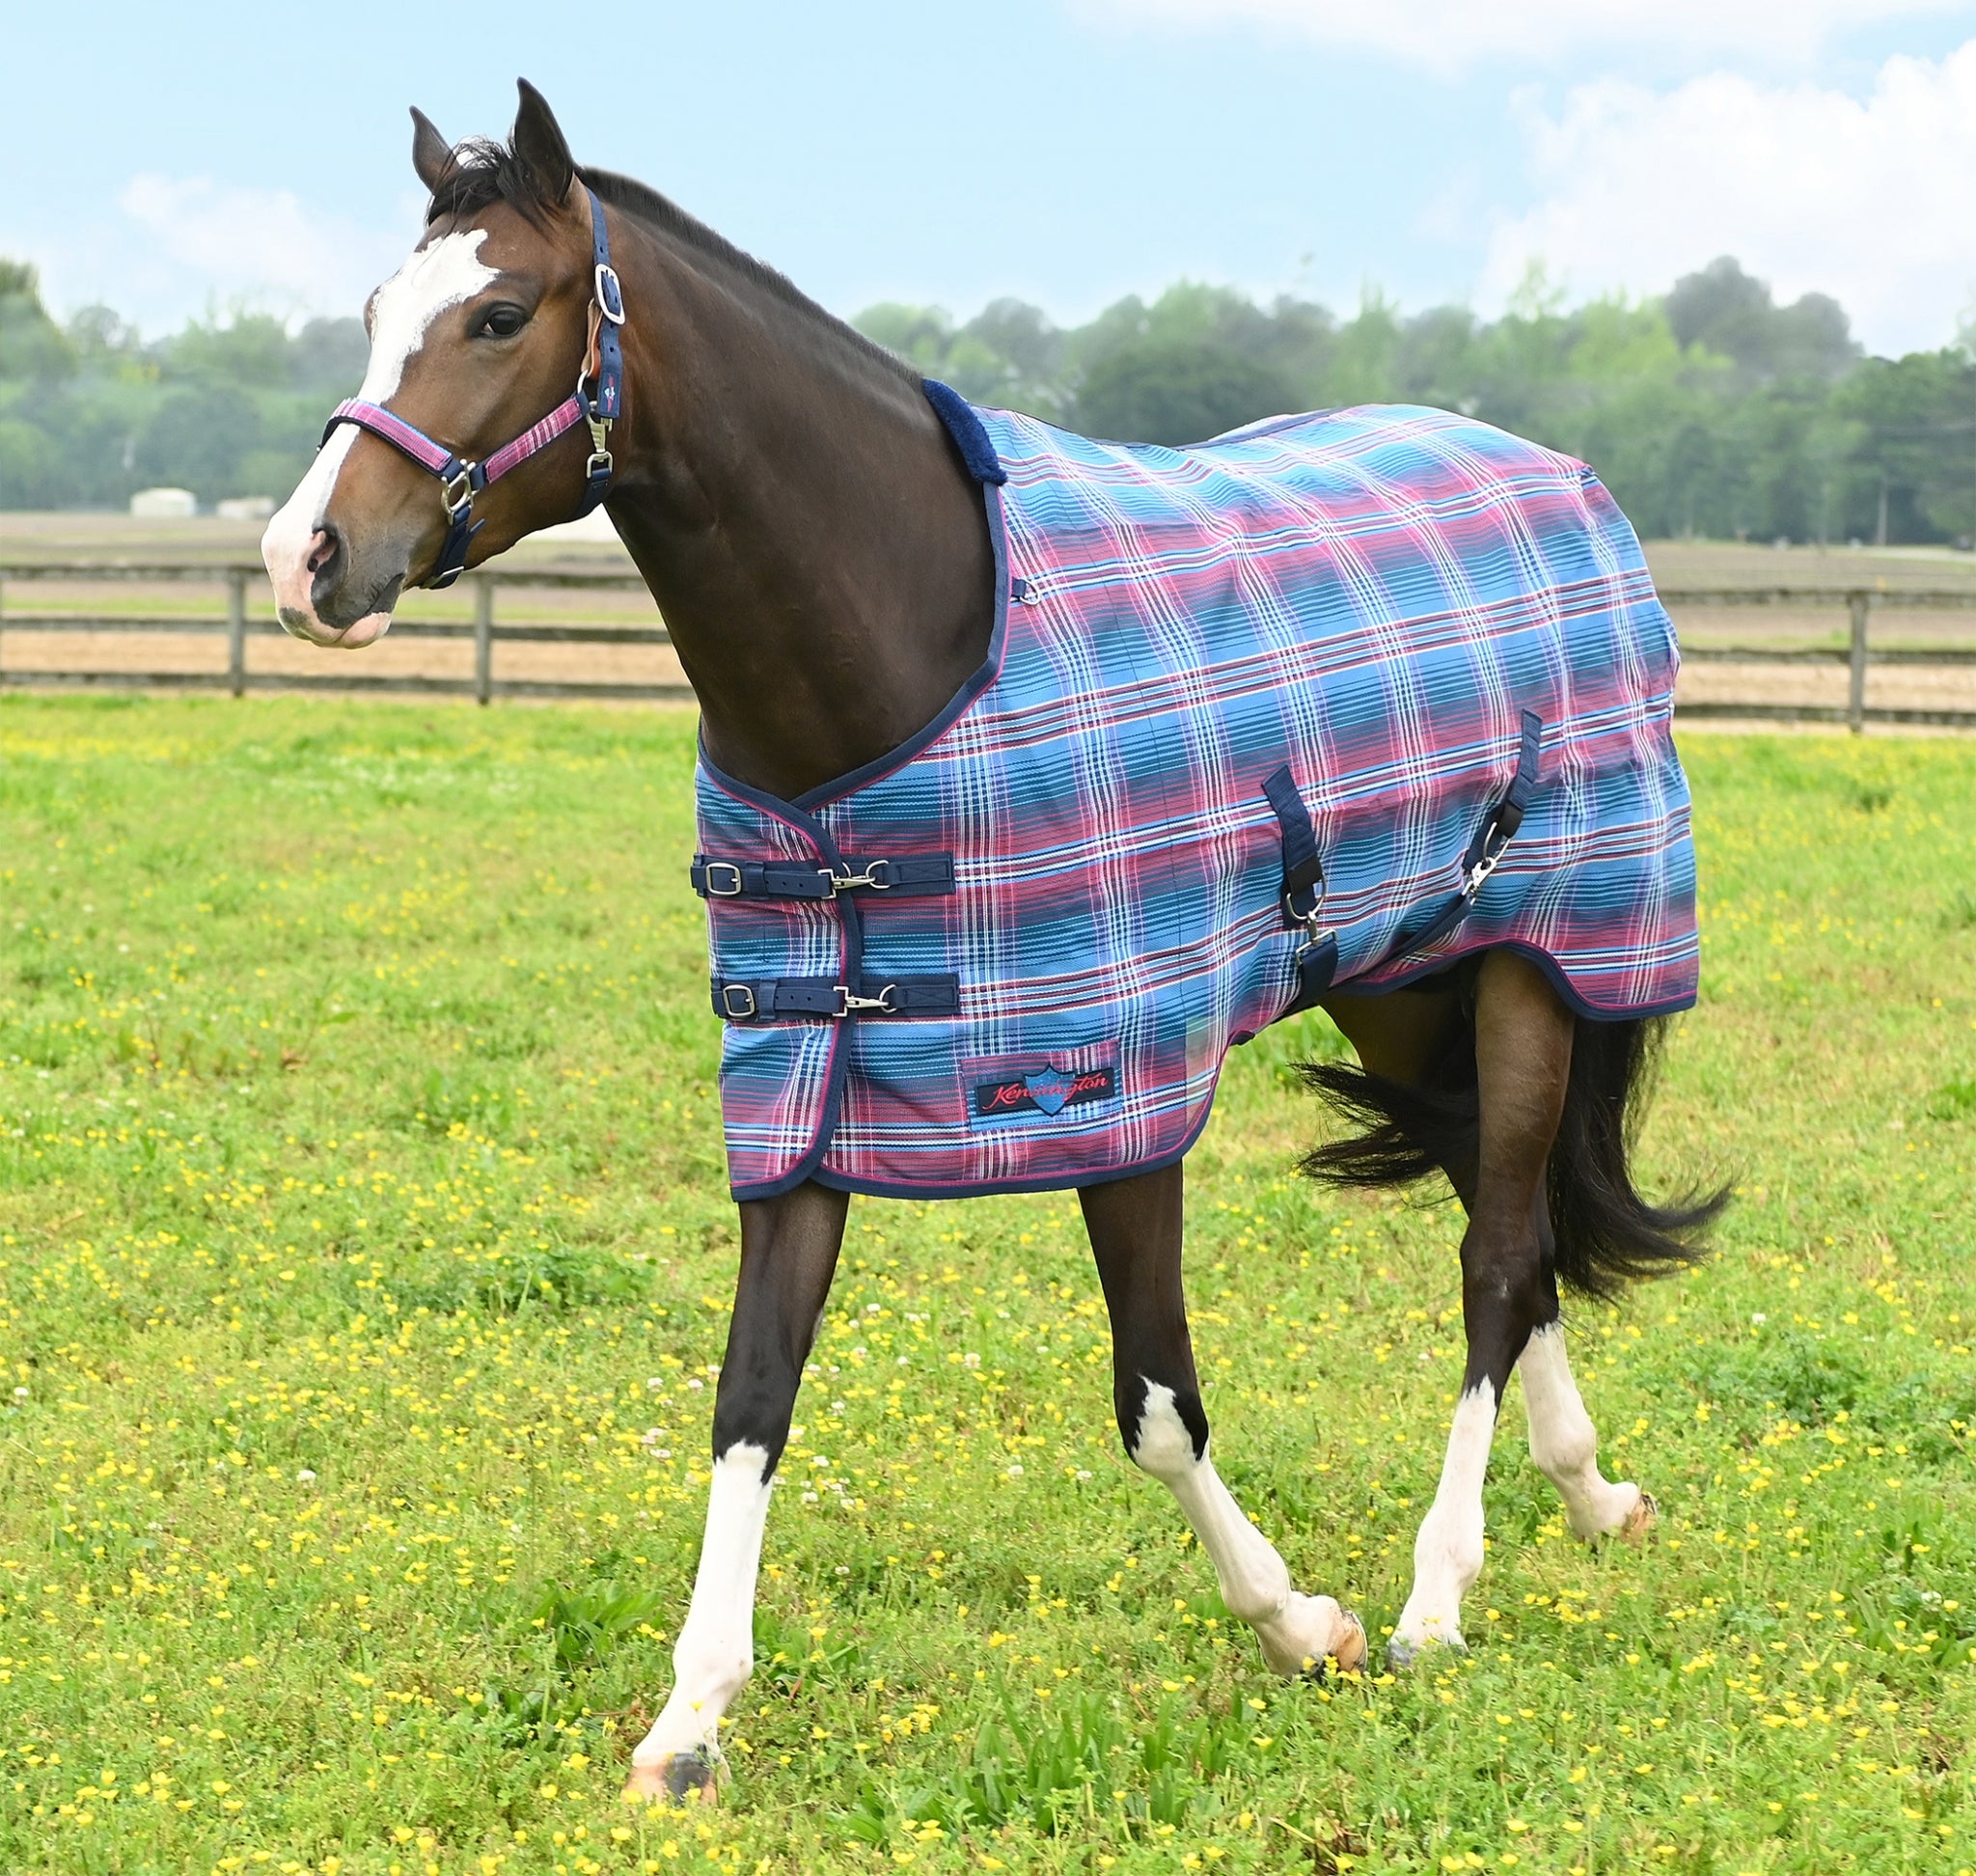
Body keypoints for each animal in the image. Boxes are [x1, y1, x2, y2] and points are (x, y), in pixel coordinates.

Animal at [261, 82, 1724, 1805]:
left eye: (499, 314)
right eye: (376, 311)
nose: (306, 559)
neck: (906, 654)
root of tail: (1566, 481)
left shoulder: (1113, 1081)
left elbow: (1158, 1401)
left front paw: (1304, 1625)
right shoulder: (806, 1073)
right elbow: (751, 1393)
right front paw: (689, 1722)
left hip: (1538, 959)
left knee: (1497, 1253)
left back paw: (1443, 1589)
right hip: (1402, 982)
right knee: (1513, 1215)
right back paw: (1590, 1493)